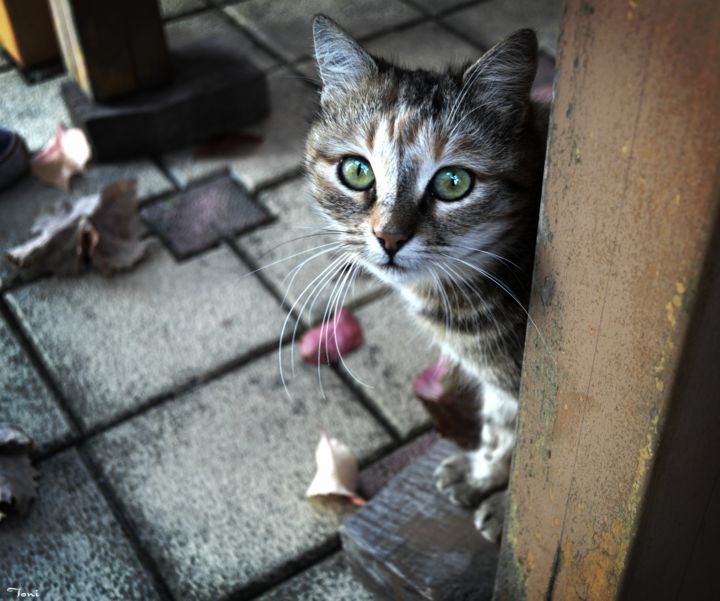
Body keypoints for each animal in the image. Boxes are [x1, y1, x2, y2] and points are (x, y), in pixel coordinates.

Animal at [304, 14, 544, 540]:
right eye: (356, 171)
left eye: (454, 182)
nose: (389, 238)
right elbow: (501, 427)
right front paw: (482, 473)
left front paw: (505, 509)